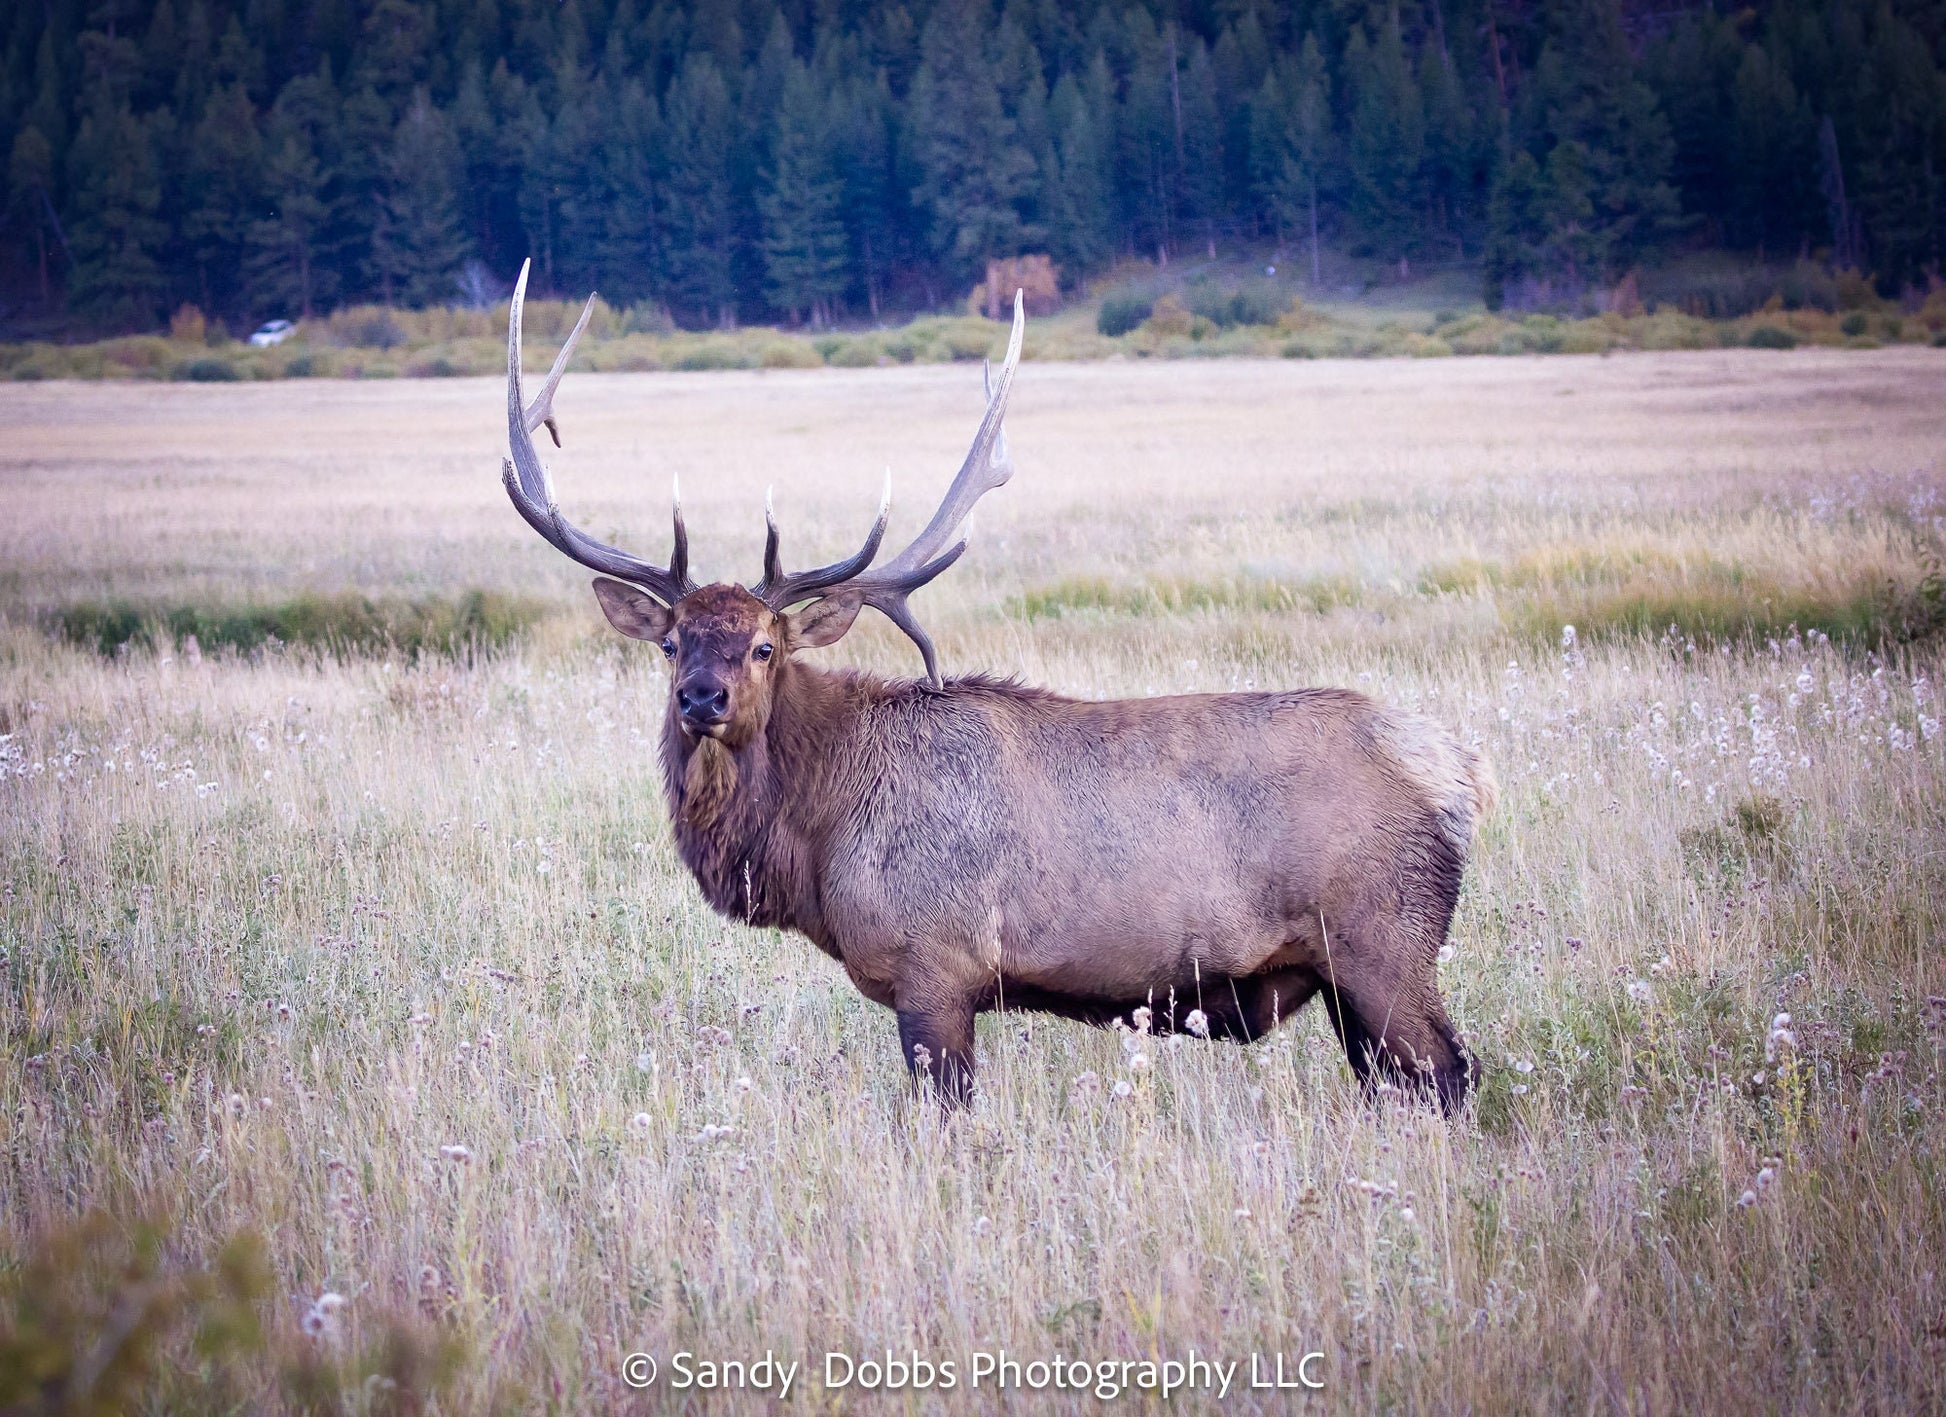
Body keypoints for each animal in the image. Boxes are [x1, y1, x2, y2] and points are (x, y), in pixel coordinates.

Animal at [498, 260, 1486, 1113]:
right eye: (672, 642)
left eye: (766, 646)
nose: (702, 698)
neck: (817, 836)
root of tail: (1455, 773)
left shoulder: (935, 965)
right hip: (1351, 979)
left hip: (1384, 944)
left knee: (1452, 1075)